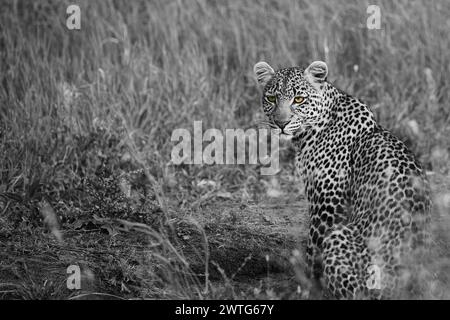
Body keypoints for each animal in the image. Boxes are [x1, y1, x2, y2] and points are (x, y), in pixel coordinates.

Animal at [253, 60, 432, 300]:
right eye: (272, 98)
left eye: (298, 99)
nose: (281, 123)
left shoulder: (327, 205)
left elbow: (313, 250)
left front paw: (307, 288)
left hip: (341, 240)